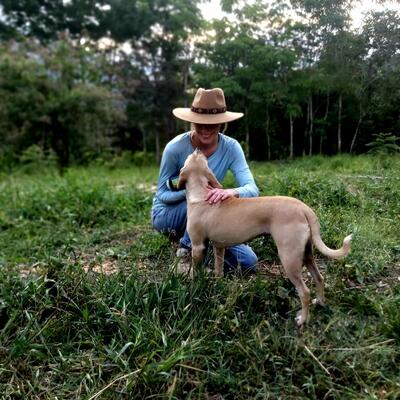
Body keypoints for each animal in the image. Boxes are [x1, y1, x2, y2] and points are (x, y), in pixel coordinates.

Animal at [176, 150, 352, 326]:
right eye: (200, 158)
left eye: (191, 157)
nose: (198, 149)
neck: (201, 194)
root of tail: (303, 207)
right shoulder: (219, 247)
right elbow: (219, 270)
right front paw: (217, 286)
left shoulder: (198, 246)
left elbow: (196, 271)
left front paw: (194, 286)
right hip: (307, 254)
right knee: (319, 278)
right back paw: (320, 302)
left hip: (289, 258)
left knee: (304, 291)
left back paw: (302, 319)